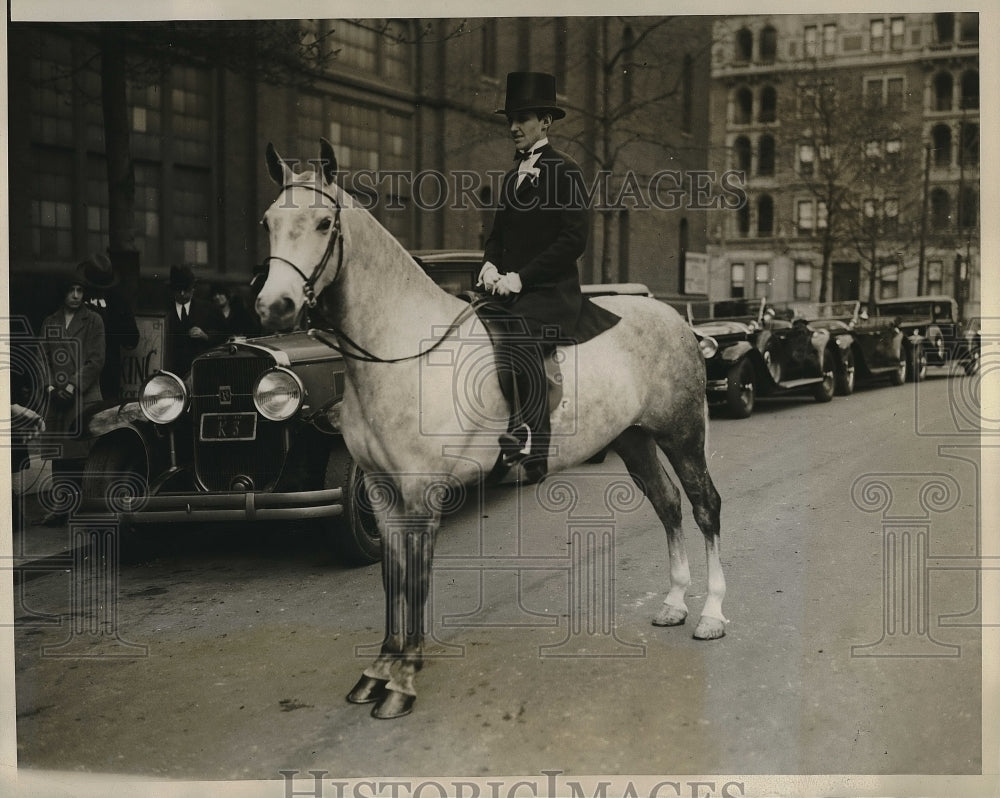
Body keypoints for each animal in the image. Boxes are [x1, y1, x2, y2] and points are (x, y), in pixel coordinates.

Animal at [258, 141, 728, 720]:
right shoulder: (382, 493)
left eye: (325, 222)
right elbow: (393, 578)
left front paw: (403, 680)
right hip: (634, 439)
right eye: (268, 223)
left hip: (682, 435)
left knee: (705, 506)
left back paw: (711, 614)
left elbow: (415, 578)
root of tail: (677, 320)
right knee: (668, 505)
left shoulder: (422, 493)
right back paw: (673, 603)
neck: (404, 350)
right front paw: (379, 670)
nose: (273, 306)